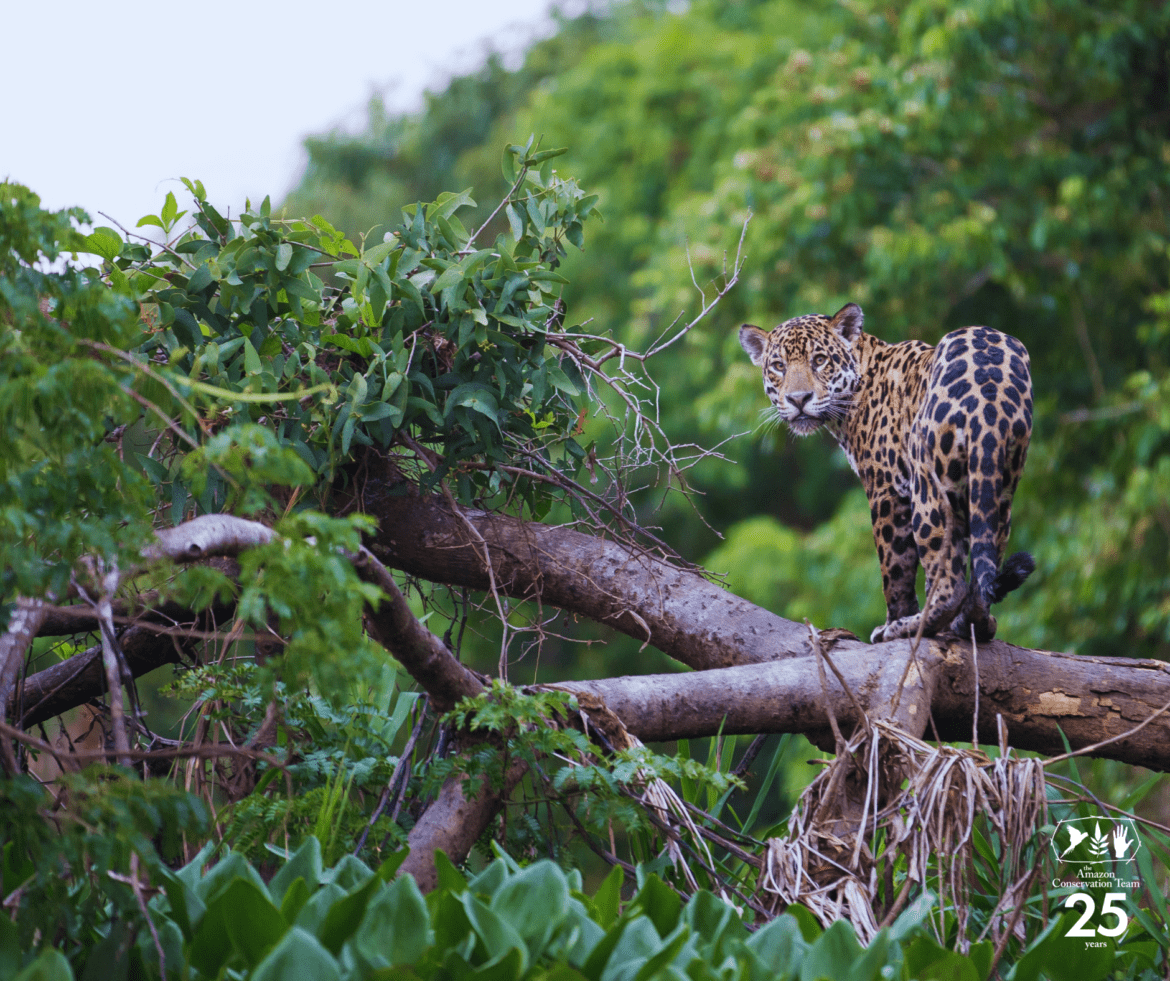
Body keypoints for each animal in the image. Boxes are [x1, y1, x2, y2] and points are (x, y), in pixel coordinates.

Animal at [739, 302, 1034, 644]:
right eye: (778, 366)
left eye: (820, 360)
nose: (798, 399)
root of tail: (989, 392)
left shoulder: (887, 489)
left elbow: (894, 568)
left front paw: (894, 620)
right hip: (998, 484)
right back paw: (974, 623)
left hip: (929, 487)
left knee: (949, 582)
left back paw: (910, 627)